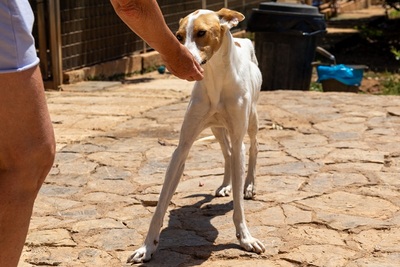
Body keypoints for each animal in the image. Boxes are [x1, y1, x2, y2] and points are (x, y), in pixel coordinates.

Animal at [128, 8, 266, 264]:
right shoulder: (182, 148)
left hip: (251, 119)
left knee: (253, 147)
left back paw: (250, 185)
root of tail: (243, 40)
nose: (185, 61)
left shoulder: (238, 137)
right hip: (216, 129)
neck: (215, 81)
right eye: (179, 36)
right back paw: (225, 185)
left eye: (202, 33)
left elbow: (239, 205)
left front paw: (245, 238)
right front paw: (147, 247)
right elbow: (161, 203)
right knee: (227, 153)